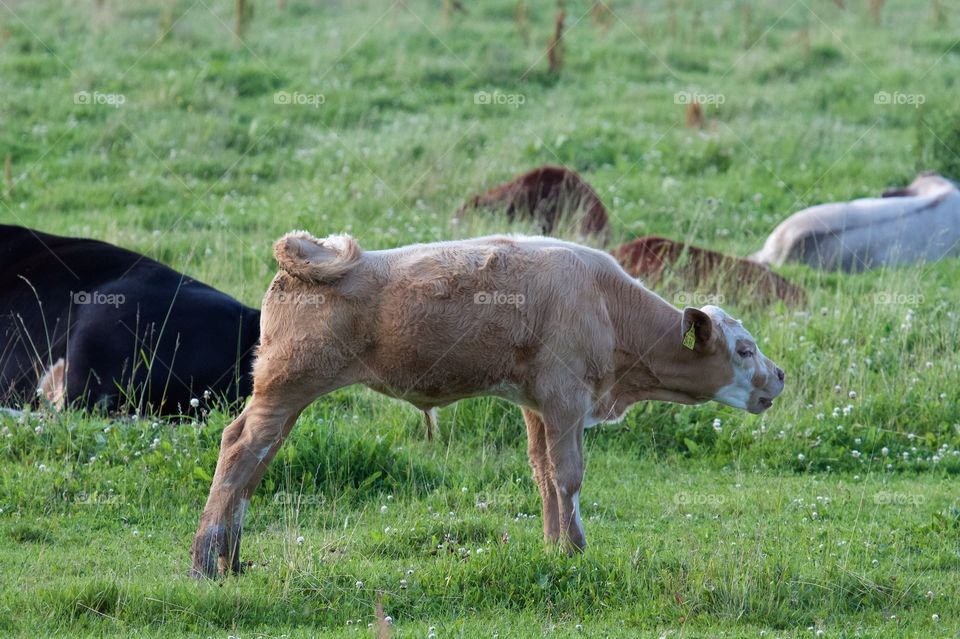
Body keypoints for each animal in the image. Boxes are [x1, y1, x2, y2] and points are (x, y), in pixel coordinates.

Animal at [191, 232, 784, 576]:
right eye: (743, 348)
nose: (778, 376)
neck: (605, 304)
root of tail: (309, 259)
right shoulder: (566, 401)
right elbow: (568, 476)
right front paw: (574, 552)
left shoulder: (537, 405)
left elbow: (543, 474)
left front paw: (554, 548)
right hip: (286, 386)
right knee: (240, 449)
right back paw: (205, 562)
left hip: (287, 397)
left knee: (254, 461)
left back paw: (231, 560)